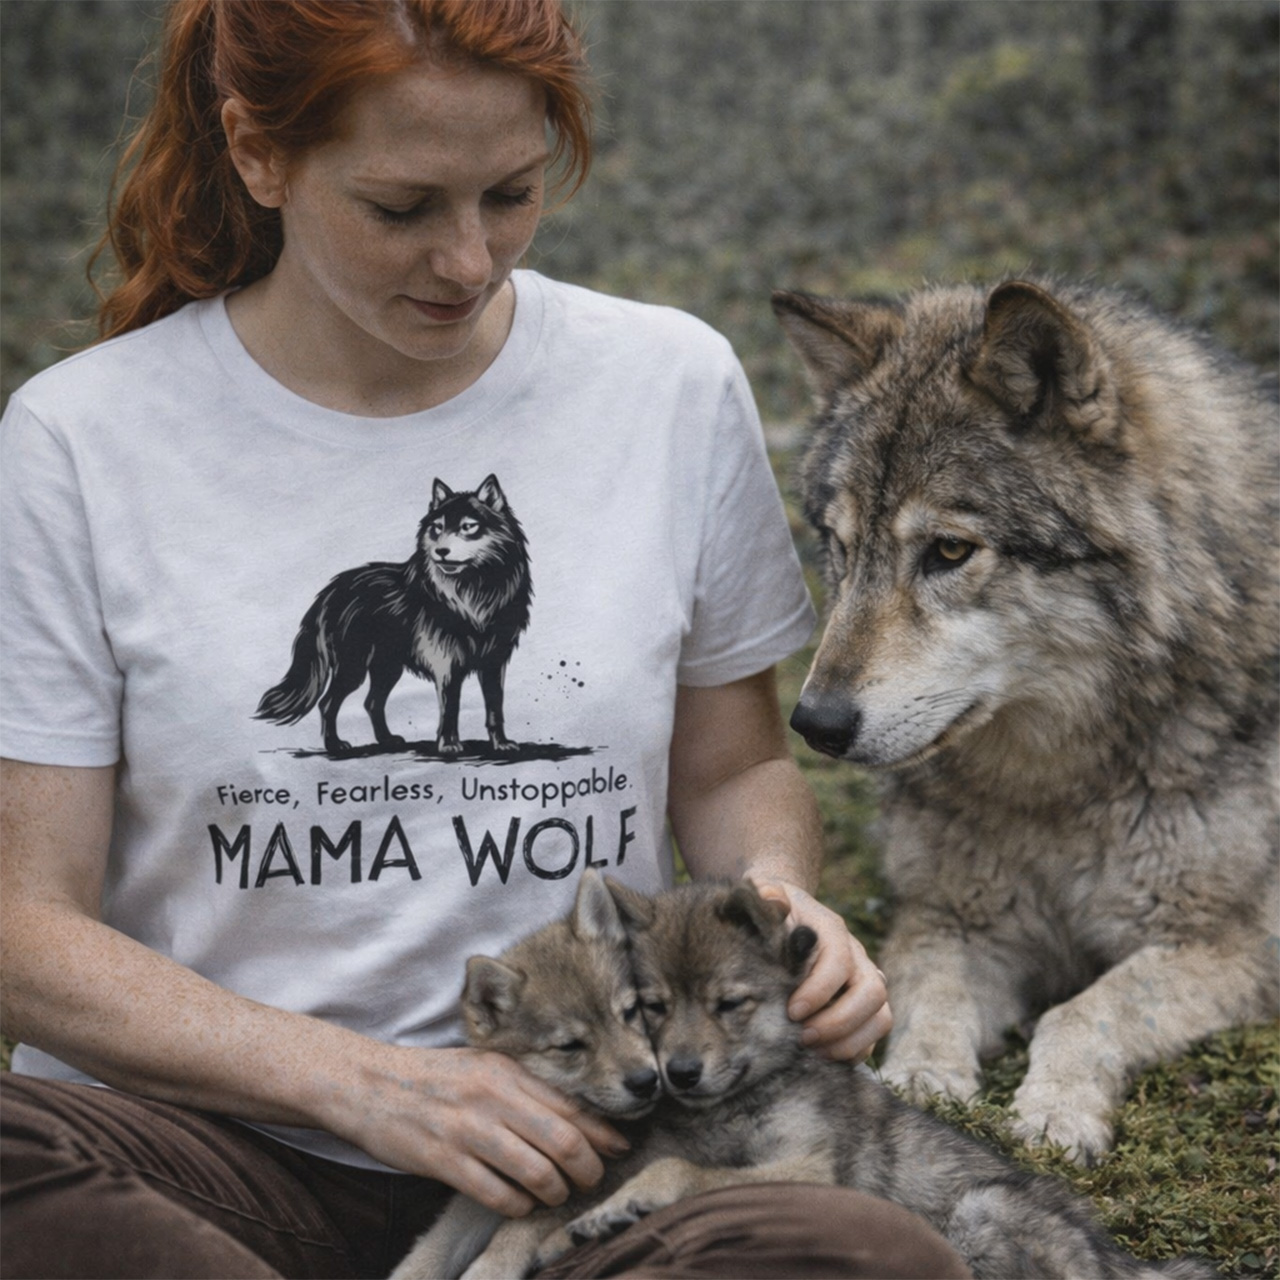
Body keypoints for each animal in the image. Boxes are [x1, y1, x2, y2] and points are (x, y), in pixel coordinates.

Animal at [256, 475, 531, 755]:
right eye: (437, 528)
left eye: (468, 527)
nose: (441, 551)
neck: (474, 595)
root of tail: (329, 591)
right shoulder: (447, 665)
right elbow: (450, 709)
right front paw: (449, 744)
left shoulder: (494, 662)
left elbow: (495, 709)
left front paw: (501, 743)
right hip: (354, 668)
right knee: (328, 703)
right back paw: (335, 744)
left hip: (387, 668)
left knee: (371, 703)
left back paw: (386, 740)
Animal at [772, 279, 1279, 1162]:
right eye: (838, 544)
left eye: (948, 551)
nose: (816, 724)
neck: (1058, 784)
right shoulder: (952, 919)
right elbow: (933, 1003)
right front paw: (921, 1083)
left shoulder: (1229, 944)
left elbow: (1086, 1009)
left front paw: (1054, 1114)